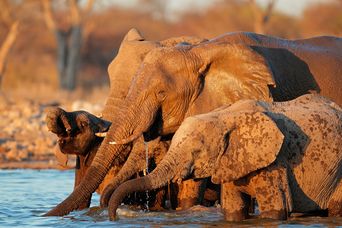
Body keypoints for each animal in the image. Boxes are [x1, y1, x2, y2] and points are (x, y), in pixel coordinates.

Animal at [107, 93, 342, 221]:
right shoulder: (230, 161)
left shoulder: (275, 162)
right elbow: (233, 211)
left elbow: (275, 210)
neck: (223, 116)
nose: (114, 217)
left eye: (196, 151)